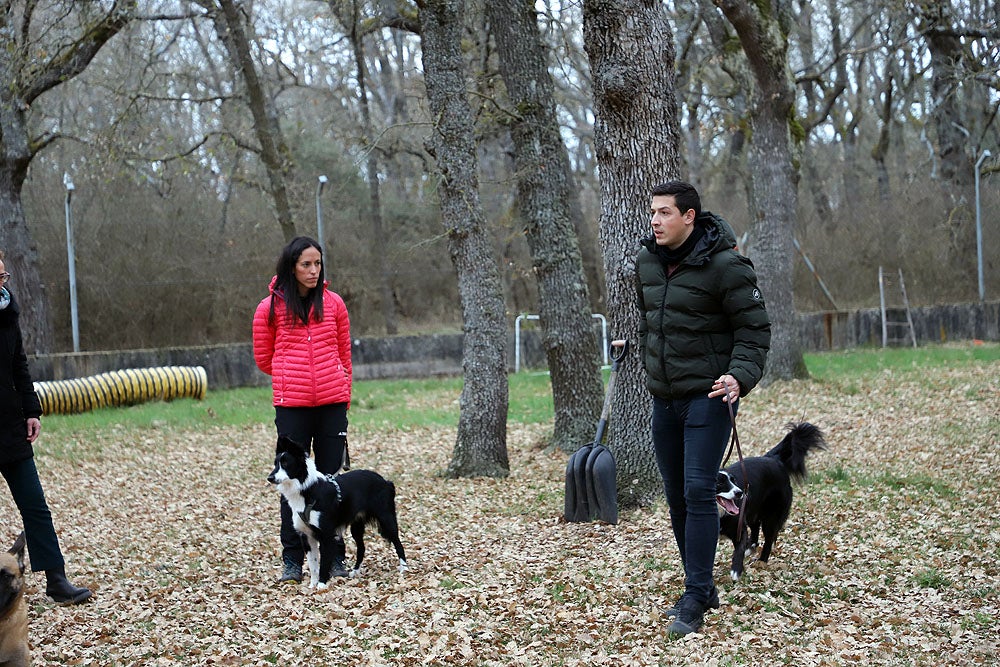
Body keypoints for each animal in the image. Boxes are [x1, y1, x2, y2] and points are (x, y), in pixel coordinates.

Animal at [268, 436, 408, 588]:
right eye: (275, 464)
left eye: (286, 463)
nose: (269, 478)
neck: (307, 489)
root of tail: (385, 481)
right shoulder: (306, 536)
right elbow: (313, 564)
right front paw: (312, 586)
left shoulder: (326, 535)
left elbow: (323, 564)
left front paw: (321, 586)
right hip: (357, 525)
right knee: (362, 548)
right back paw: (355, 571)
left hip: (386, 518)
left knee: (398, 543)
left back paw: (404, 568)